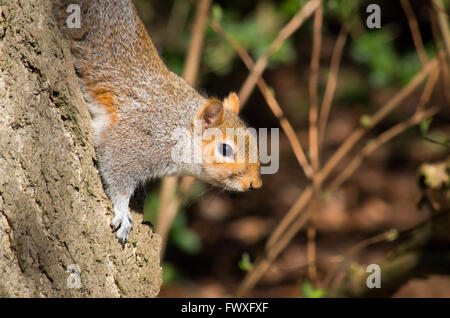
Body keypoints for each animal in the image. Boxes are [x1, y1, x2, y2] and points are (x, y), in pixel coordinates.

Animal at [52, 0, 264, 243]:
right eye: (225, 150)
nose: (255, 184)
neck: (175, 126)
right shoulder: (133, 135)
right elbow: (117, 170)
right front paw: (123, 212)